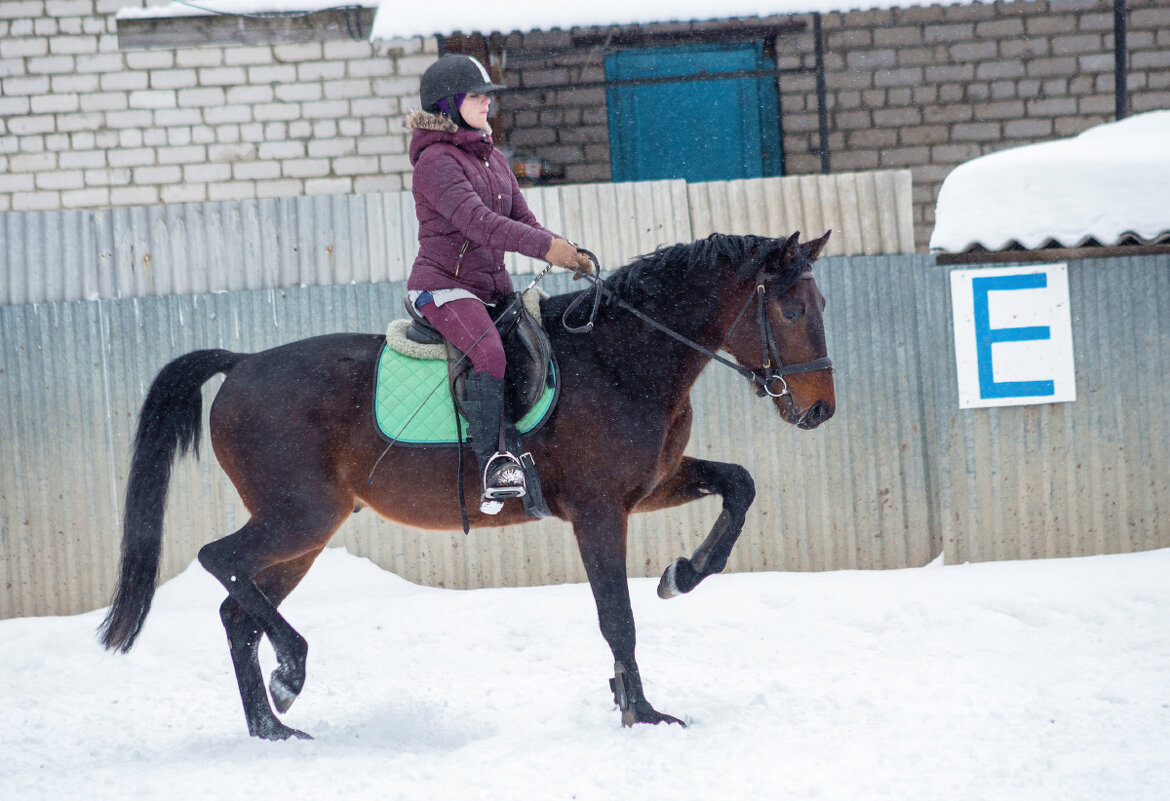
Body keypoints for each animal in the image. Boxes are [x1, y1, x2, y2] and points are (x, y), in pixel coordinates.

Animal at [98, 228, 833, 739]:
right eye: (793, 311)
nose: (821, 410)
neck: (622, 359)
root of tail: (242, 362)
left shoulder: (647, 489)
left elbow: (739, 486)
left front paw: (684, 574)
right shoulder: (599, 510)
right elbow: (617, 617)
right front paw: (643, 712)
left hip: (306, 533)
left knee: (237, 610)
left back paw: (273, 724)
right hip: (298, 516)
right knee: (219, 561)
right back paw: (291, 672)